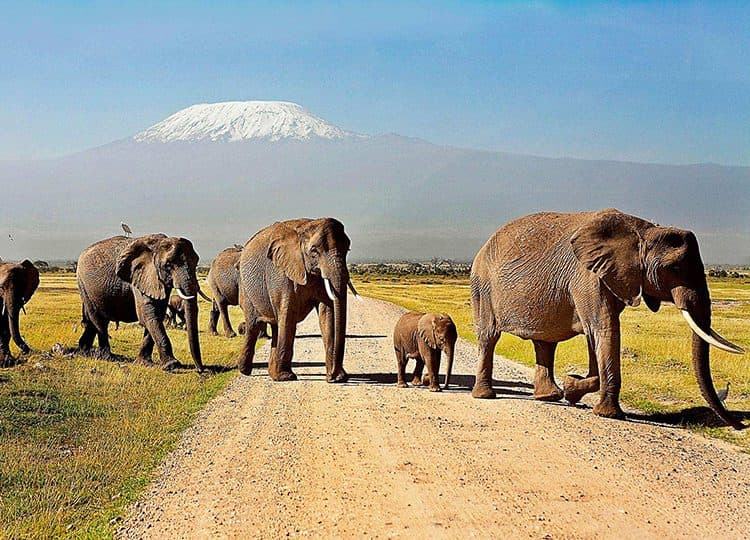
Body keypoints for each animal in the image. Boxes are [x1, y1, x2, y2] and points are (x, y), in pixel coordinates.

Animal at [76, 234, 209, 371]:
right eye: (168, 264)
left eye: (196, 262)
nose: (200, 370)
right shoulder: (139, 276)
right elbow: (148, 315)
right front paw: (172, 365)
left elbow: (157, 315)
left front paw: (144, 363)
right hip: (84, 286)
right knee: (98, 320)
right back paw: (107, 357)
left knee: (95, 321)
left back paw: (84, 352)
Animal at [236, 217, 359, 382]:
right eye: (314, 250)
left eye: (348, 249)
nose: (333, 376)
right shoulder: (280, 273)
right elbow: (288, 315)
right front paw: (286, 377)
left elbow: (328, 314)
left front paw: (338, 377)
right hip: (246, 288)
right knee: (253, 326)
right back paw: (246, 371)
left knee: (276, 325)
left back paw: (272, 374)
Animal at [470, 209, 745, 429]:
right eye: (675, 268)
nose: (740, 426)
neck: (644, 231)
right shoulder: (587, 277)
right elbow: (604, 330)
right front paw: (605, 412)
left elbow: (598, 335)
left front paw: (572, 389)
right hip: (483, 287)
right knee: (489, 337)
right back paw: (485, 396)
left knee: (545, 343)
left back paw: (549, 397)